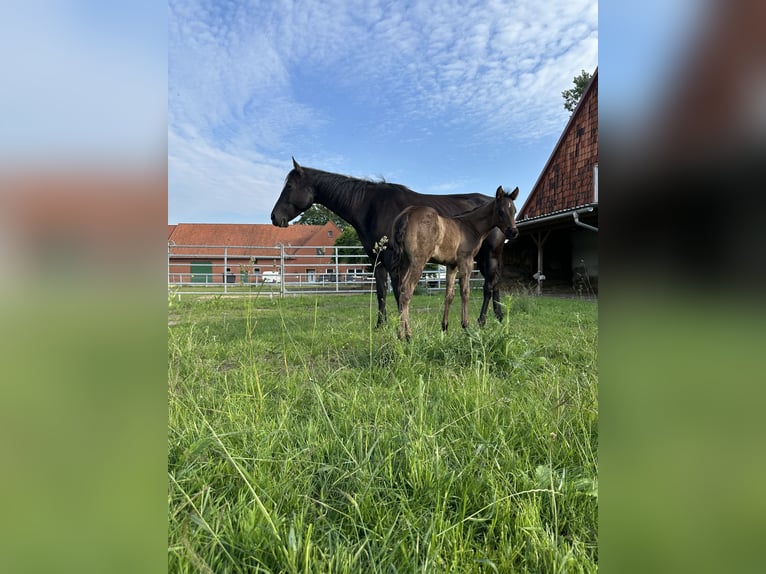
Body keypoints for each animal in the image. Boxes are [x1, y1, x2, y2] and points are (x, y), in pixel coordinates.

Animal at [270, 158, 514, 326]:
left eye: (289, 187)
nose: (274, 217)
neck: (371, 206)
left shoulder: (393, 259)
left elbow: (398, 291)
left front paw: (401, 323)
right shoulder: (377, 260)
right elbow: (381, 292)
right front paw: (381, 325)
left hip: (488, 256)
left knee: (488, 287)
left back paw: (484, 320)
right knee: (494, 286)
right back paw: (499, 317)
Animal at [394, 185, 519, 340]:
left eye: (514, 211)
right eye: (500, 211)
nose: (513, 232)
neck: (471, 227)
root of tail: (407, 214)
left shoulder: (451, 265)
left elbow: (449, 294)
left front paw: (444, 327)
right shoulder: (466, 261)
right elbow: (465, 291)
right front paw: (466, 327)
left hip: (404, 263)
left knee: (400, 290)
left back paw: (400, 334)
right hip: (418, 261)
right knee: (407, 291)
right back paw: (407, 336)